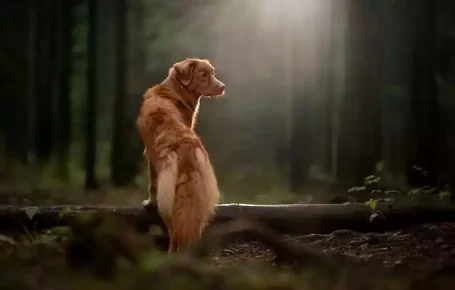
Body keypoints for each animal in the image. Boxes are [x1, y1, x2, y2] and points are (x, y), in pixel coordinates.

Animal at [136, 57, 227, 253]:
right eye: (203, 74)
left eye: (212, 73)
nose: (223, 87)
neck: (173, 91)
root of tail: (186, 147)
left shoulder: (150, 157)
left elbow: (151, 184)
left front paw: (149, 203)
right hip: (198, 199)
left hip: (168, 200)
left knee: (174, 231)